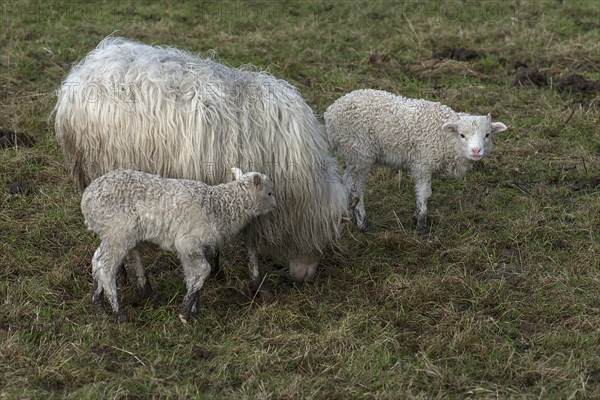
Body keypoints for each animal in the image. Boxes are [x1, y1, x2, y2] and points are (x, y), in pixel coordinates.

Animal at [55, 36, 352, 290]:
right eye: (325, 237)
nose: (305, 278)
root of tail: (83, 71)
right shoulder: (252, 188)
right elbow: (250, 240)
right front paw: (255, 281)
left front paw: (217, 265)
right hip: (112, 170)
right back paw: (144, 285)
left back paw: (123, 275)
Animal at [81, 168, 276, 322]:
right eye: (269, 193)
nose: (275, 206)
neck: (219, 206)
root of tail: (86, 199)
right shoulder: (188, 242)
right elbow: (203, 270)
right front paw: (185, 313)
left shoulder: (195, 248)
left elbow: (193, 276)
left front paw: (194, 310)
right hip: (119, 230)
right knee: (105, 267)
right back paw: (119, 313)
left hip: (109, 232)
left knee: (96, 260)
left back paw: (98, 306)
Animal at [326, 90, 508, 234]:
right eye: (462, 135)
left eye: (487, 135)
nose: (476, 151)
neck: (446, 138)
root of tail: (331, 112)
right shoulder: (422, 164)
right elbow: (424, 194)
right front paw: (421, 224)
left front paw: (416, 216)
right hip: (359, 152)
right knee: (356, 186)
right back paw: (363, 223)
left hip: (353, 155)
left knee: (347, 180)